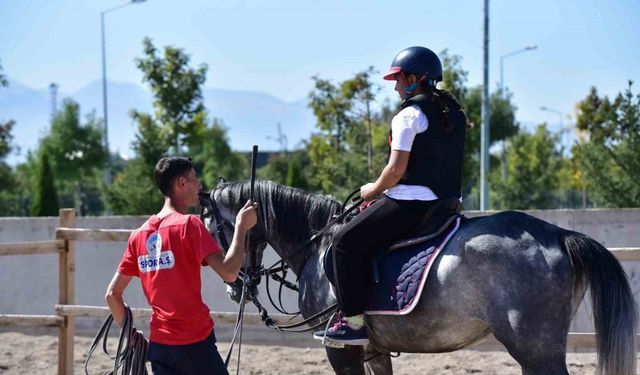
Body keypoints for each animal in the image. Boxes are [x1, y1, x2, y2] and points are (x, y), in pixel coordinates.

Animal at [205, 179, 636, 375]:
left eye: (214, 228)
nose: (233, 286)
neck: (319, 242)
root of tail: (559, 234)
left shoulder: (340, 349)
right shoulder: (374, 349)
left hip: (536, 349)